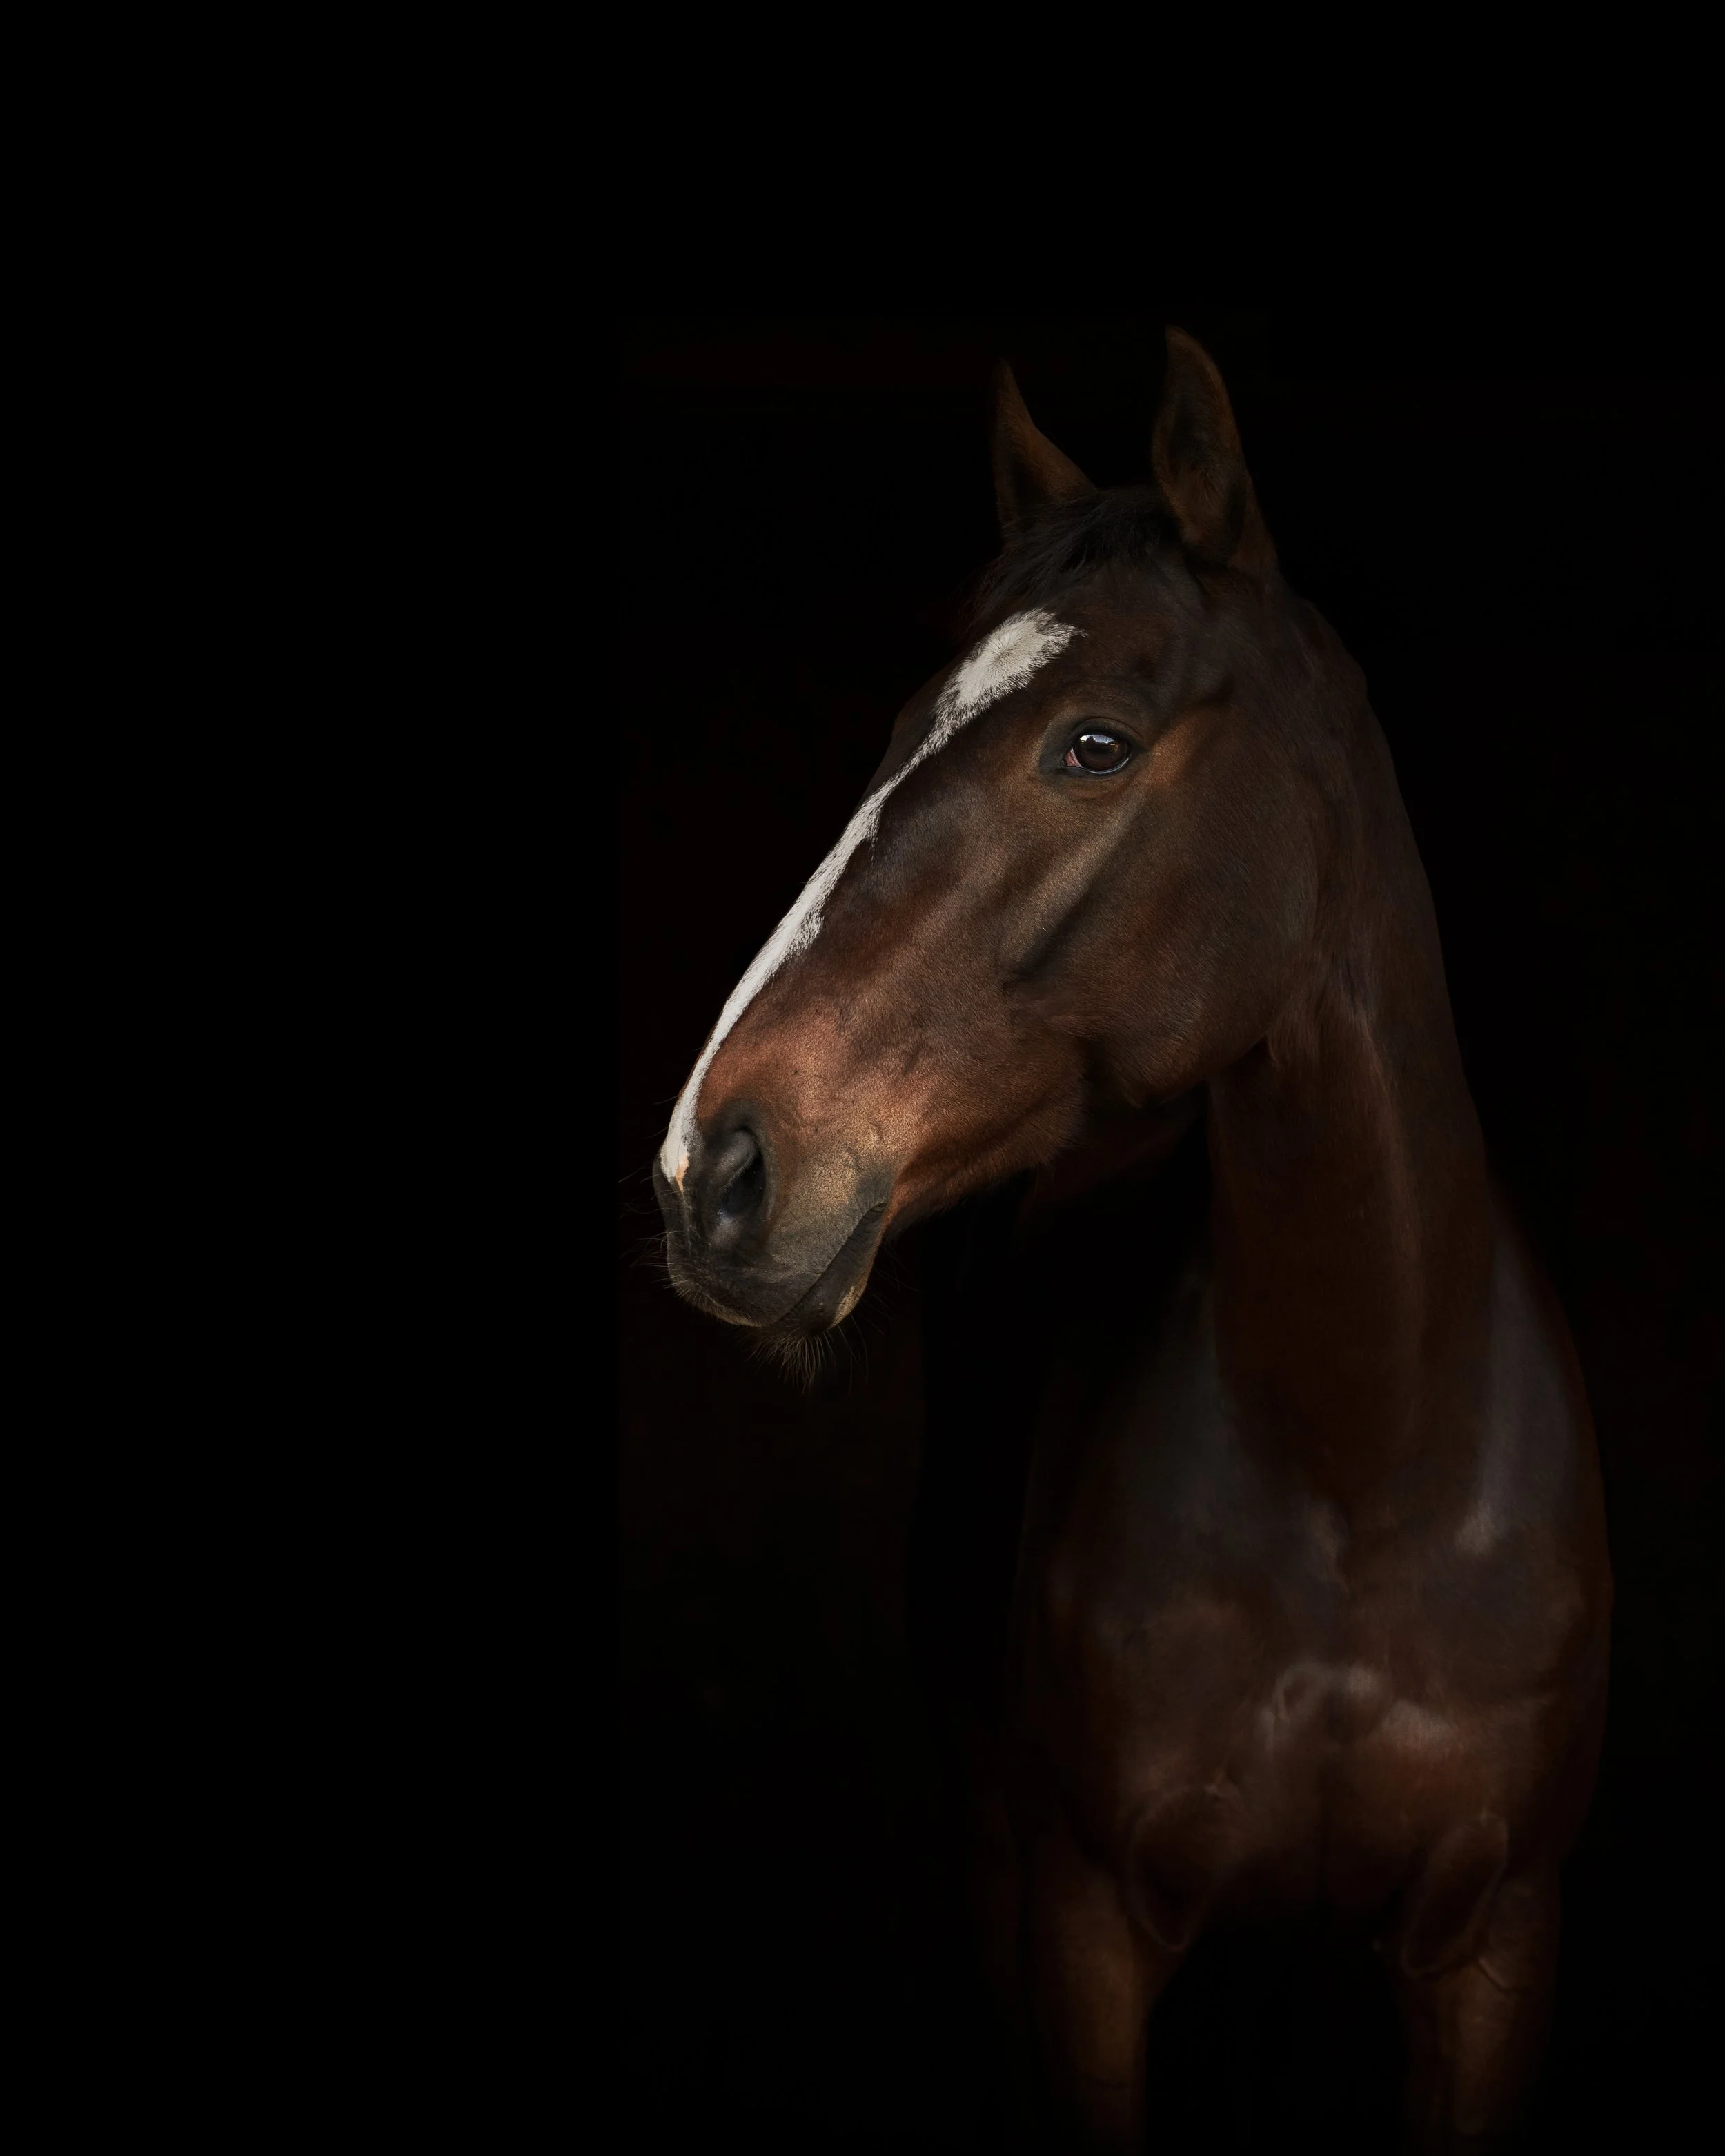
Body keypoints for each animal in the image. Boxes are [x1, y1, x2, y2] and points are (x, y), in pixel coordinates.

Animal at [650, 329, 1611, 2152]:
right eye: (899, 730)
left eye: (1092, 744)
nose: (709, 1166)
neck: (1360, 1453)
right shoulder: (1086, 1928)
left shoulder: (1498, 1946)